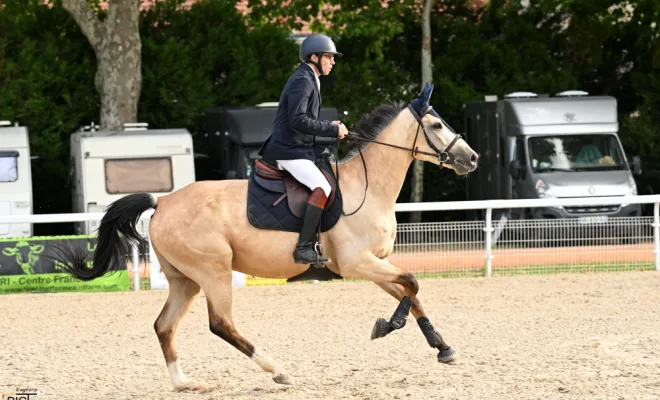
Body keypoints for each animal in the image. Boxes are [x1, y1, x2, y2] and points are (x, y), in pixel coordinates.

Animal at [56, 83, 478, 391]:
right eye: (437, 126)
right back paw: (277, 369)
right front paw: (387, 327)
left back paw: (184, 383)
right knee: (220, 323)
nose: (471, 159)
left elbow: (410, 291)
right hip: (213, 272)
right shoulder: (357, 263)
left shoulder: (374, 263)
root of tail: (162, 201)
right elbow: (413, 283)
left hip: (184, 280)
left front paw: (442, 347)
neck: (367, 186)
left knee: (164, 326)